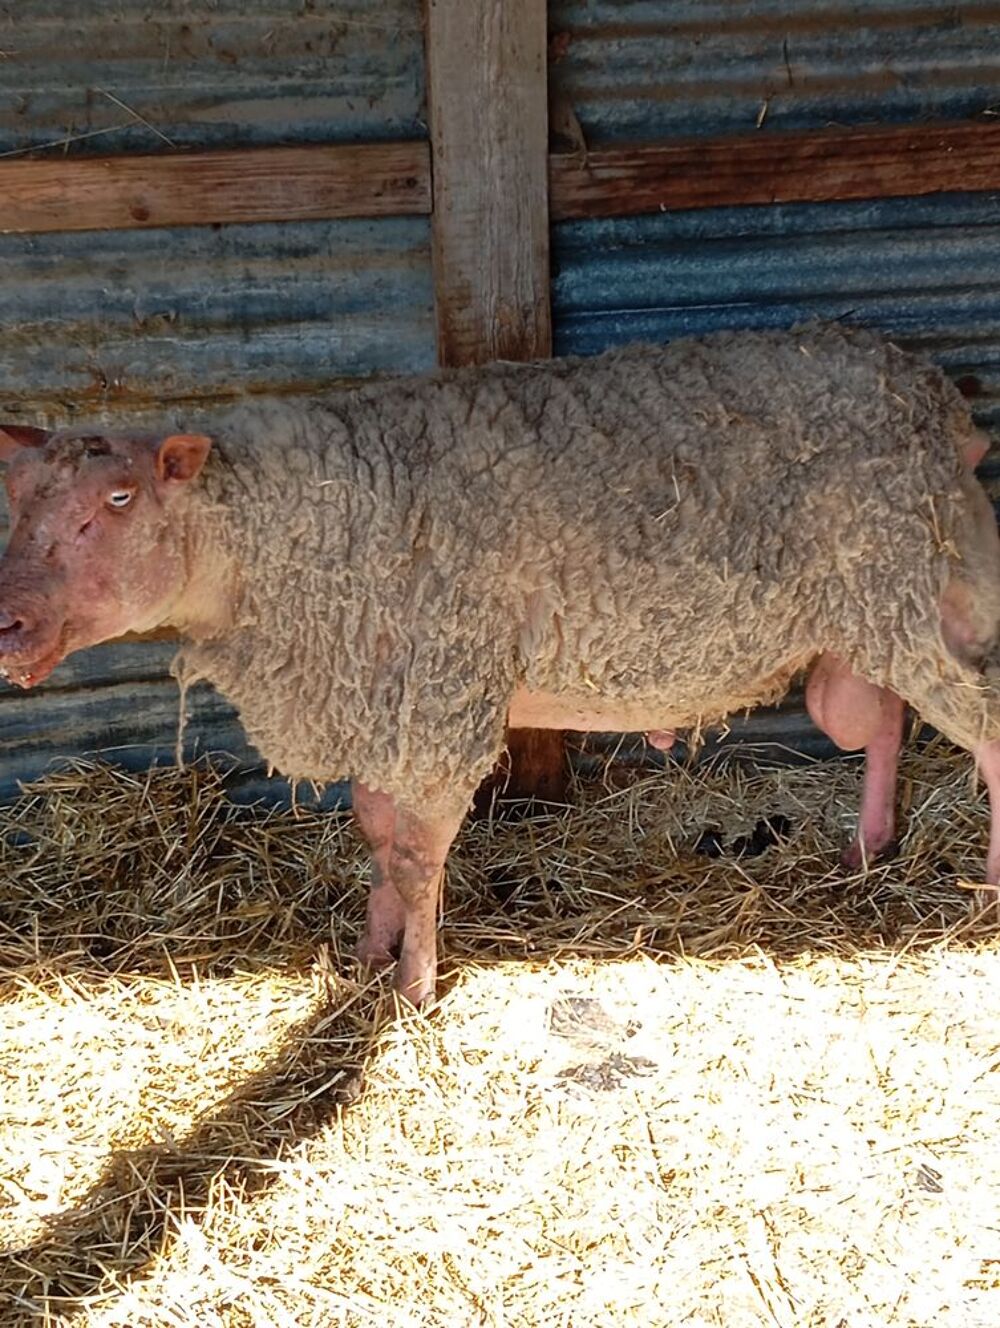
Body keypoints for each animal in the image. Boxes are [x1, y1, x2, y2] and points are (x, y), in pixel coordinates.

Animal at [0, 321, 998, 1007]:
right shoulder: (378, 690)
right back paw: (868, 847)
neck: (279, 529)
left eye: (118, 499)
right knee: (883, 721)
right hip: (870, 622)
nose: (8, 623)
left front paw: (412, 989)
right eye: (18, 497)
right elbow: (377, 835)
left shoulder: (446, 695)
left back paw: (985, 881)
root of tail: (934, 398)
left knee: (984, 727)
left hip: (899, 591)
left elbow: (416, 855)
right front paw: (369, 954)